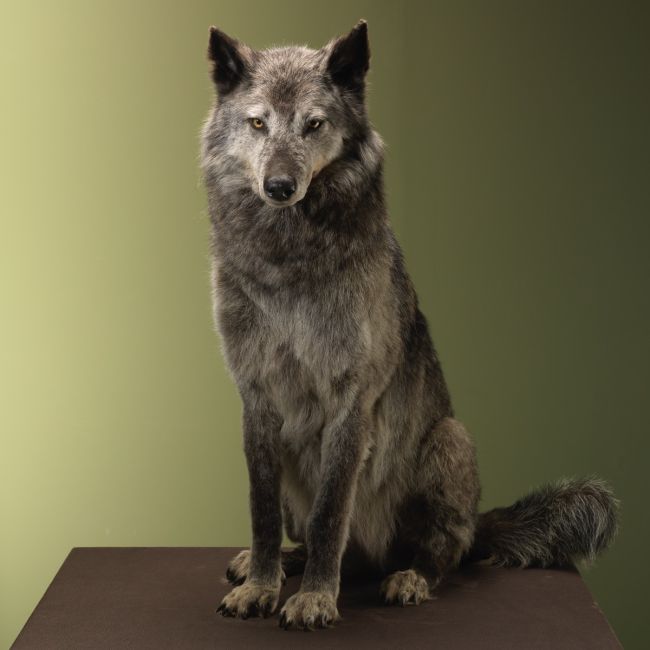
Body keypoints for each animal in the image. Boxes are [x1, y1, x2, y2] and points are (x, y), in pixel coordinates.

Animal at [200, 20, 618, 630]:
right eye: (258, 123)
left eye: (314, 124)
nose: (279, 186)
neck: (288, 259)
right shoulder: (255, 397)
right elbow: (262, 513)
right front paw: (261, 585)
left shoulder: (350, 402)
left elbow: (331, 513)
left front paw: (315, 599)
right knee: (313, 536)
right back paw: (284, 563)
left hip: (450, 441)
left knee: (444, 551)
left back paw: (409, 577)